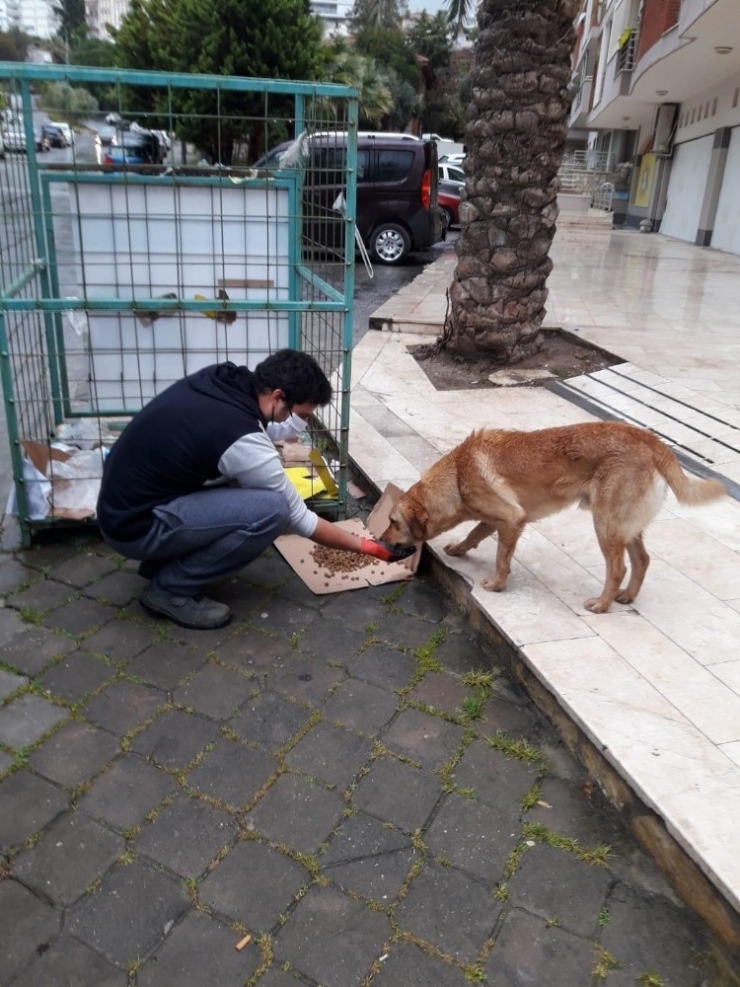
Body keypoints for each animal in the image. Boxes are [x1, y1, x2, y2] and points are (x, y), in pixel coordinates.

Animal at [378, 422, 724, 612]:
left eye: (394, 523)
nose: (379, 539)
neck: (458, 475)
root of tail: (651, 441)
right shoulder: (495, 519)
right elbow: (474, 534)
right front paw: (459, 549)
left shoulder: (512, 519)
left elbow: (501, 556)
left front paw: (498, 583)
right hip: (625, 525)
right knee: (642, 560)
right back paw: (625, 596)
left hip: (606, 523)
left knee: (619, 568)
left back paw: (603, 603)